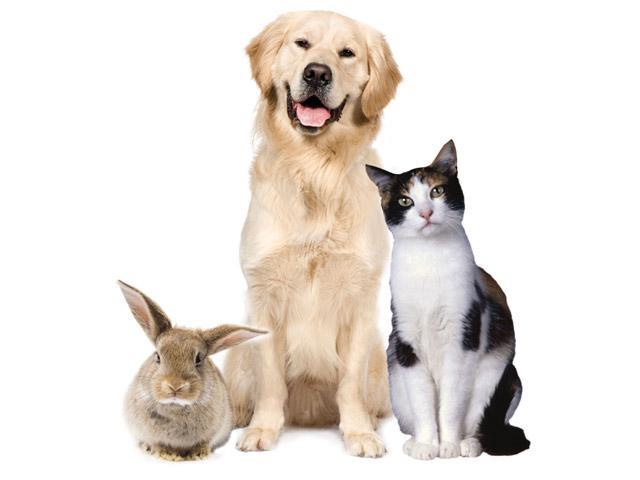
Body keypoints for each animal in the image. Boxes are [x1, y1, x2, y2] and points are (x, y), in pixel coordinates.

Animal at [119, 280, 267, 461]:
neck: (176, 407)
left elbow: (203, 442)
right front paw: (166, 454)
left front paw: (198, 454)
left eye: (198, 359)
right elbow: (157, 443)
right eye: (158, 356)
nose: (175, 386)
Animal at [224, 11, 401, 457]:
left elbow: (350, 382)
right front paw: (262, 429)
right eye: (301, 43)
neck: (315, 169)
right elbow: (271, 380)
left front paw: (359, 433)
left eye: (347, 53)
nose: (318, 73)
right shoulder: (265, 297)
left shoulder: (359, 299)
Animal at [366, 140, 530, 460]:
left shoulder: (462, 337)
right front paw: (427, 445)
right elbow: (423, 401)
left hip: (502, 377)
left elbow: (451, 402)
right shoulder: (407, 343)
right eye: (404, 201)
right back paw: (413, 441)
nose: (426, 212)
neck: (430, 260)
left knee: (481, 421)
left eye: (437, 191)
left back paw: (468, 444)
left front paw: (449, 445)